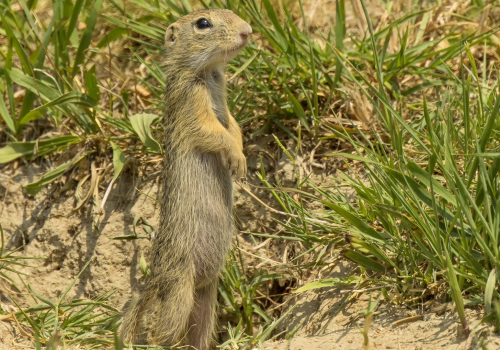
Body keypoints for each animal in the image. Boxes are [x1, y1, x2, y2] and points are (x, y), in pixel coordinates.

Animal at [123, 8, 252, 350]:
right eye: (203, 23)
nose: (247, 31)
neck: (206, 72)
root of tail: (155, 280)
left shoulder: (224, 101)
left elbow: (234, 125)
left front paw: (241, 159)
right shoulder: (192, 105)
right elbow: (215, 132)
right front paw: (236, 159)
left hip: (206, 298)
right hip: (180, 289)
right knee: (162, 333)